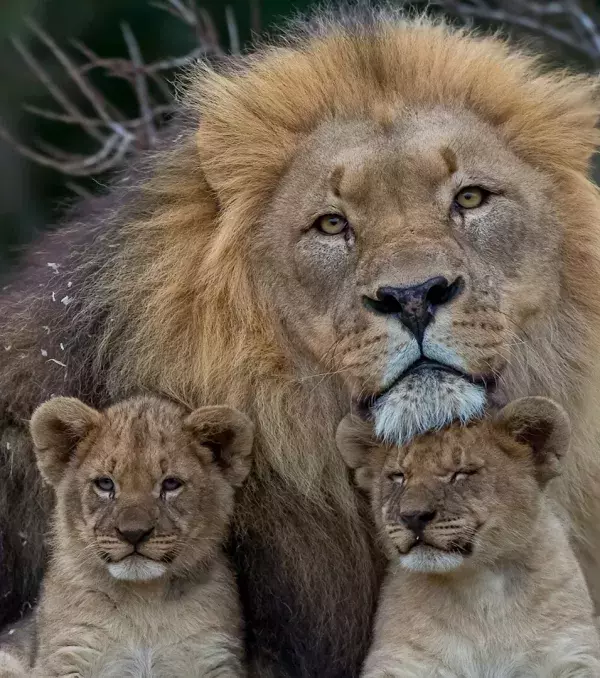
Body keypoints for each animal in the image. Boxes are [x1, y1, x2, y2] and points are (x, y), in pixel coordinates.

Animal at [19, 395, 251, 678]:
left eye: (171, 484)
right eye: (105, 484)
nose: (134, 534)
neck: (144, 601)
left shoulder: (214, 655)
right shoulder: (69, 652)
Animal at [337, 398, 600, 677]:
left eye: (462, 474)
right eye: (398, 477)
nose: (413, 516)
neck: (481, 587)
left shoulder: (571, 652)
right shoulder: (401, 660)